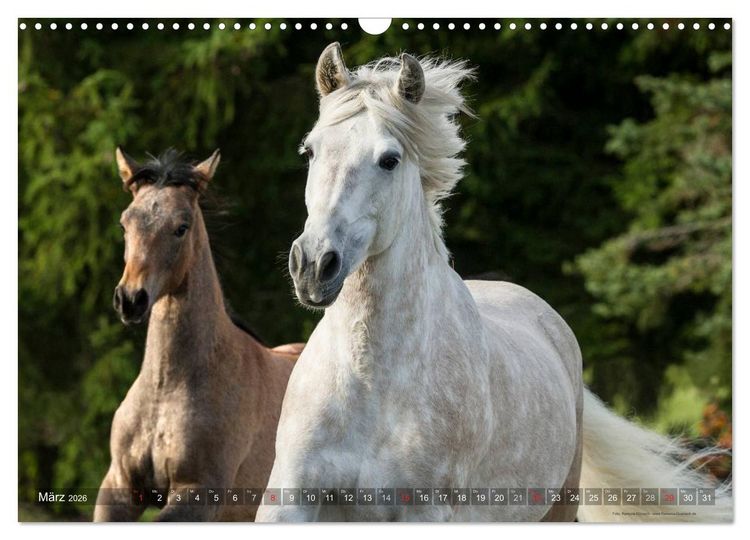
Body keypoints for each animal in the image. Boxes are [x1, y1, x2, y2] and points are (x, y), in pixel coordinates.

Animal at [94, 148, 300, 521]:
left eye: (181, 227)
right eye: (125, 223)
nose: (130, 299)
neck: (167, 389)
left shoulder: (198, 493)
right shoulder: (118, 486)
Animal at [255, 43, 731, 522]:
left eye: (389, 160)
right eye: (310, 151)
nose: (314, 265)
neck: (371, 385)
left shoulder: (424, 513)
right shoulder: (289, 501)